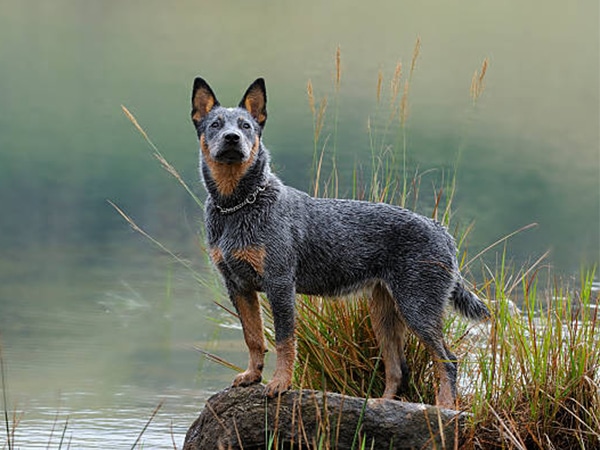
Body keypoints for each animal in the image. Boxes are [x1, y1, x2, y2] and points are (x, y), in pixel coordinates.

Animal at [190, 76, 490, 408]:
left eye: (245, 126)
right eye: (215, 124)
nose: (231, 138)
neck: (237, 207)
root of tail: (443, 232)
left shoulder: (279, 284)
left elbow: (284, 340)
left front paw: (280, 383)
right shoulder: (238, 285)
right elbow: (253, 337)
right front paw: (252, 376)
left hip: (418, 307)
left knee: (447, 360)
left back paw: (445, 408)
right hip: (384, 313)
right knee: (397, 368)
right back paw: (380, 405)